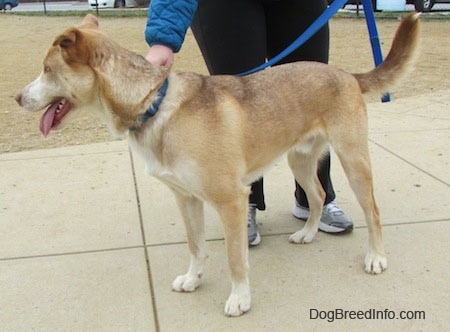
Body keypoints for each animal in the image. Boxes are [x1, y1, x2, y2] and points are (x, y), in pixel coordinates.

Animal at [15, 13, 420, 316]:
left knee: (372, 211)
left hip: (353, 160)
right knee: (318, 195)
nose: (17, 97)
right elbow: (196, 246)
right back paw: (307, 233)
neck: (153, 103)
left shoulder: (230, 200)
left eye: (47, 69)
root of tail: (347, 74)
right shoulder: (187, 198)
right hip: (299, 160)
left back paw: (375, 257)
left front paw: (240, 298)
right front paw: (193, 279)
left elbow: (234, 258)